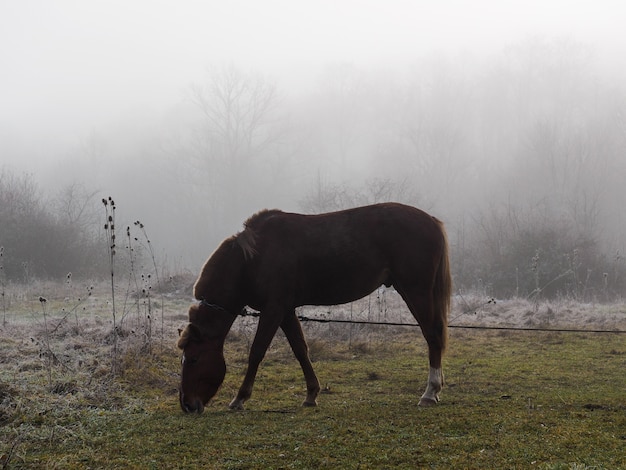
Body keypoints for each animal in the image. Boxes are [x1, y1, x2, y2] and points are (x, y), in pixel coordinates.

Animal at [176, 204, 448, 414]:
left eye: (194, 358)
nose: (187, 405)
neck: (252, 259)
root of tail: (432, 221)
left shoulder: (273, 310)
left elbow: (257, 352)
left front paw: (239, 398)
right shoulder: (285, 311)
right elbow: (300, 350)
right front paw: (311, 394)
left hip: (415, 291)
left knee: (432, 336)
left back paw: (429, 392)